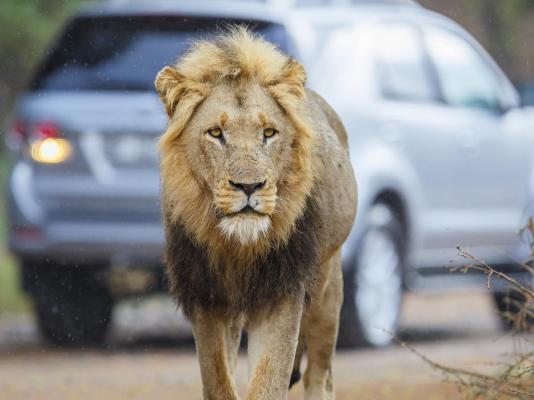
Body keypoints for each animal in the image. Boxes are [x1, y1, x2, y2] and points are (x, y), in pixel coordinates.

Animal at [157, 28, 360, 400]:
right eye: (216, 133)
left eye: (269, 133)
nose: (249, 186)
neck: (238, 246)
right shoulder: (206, 297)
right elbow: (218, 381)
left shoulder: (284, 292)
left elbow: (269, 381)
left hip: (328, 284)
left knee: (320, 375)